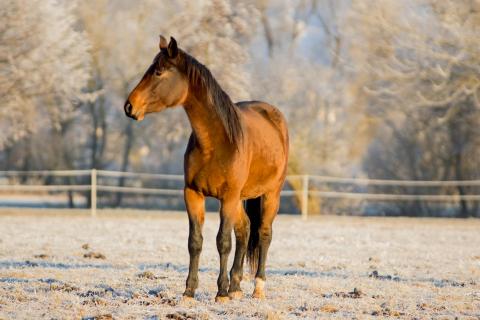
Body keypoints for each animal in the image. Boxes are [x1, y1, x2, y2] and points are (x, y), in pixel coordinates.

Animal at [124, 35, 288, 302]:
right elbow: (195, 241)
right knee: (244, 230)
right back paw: (236, 287)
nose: (129, 106)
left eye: (158, 72)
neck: (215, 142)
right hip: (239, 199)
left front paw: (220, 292)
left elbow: (223, 241)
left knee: (264, 233)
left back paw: (257, 287)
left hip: (270, 194)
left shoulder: (228, 197)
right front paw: (189, 291)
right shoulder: (193, 194)